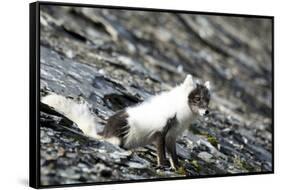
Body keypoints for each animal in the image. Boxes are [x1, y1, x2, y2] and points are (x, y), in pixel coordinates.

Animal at [42, 74, 210, 169]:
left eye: (208, 100)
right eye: (197, 98)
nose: (207, 112)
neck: (180, 111)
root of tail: (104, 132)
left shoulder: (172, 136)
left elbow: (174, 155)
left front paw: (179, 169)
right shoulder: (160, 132)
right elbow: (161, 153)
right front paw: (163, 166)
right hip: (122, 130)